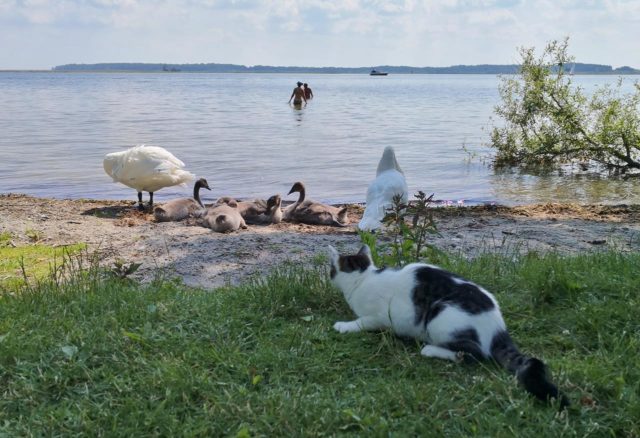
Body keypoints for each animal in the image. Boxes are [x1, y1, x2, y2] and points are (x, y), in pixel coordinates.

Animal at [328, 245, 568, 408]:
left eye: (331, 270)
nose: (328, 275)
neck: (363, 278)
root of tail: (498, 327)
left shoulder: (379, 316)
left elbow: (362, 322)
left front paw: (344, 326)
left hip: (439, 314)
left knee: (472, 354)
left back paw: (430, 349)